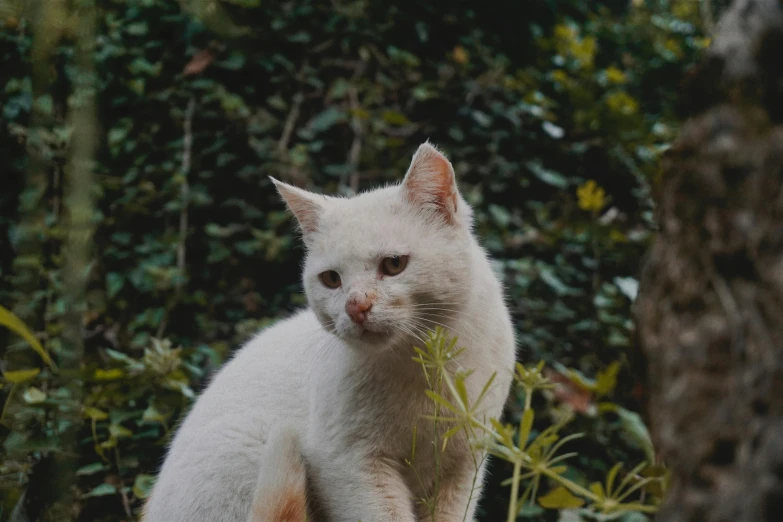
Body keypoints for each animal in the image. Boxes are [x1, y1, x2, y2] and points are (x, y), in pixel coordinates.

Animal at [143, 142, 516, 520]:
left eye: (394, 264)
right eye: (331, 279)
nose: (356, 306)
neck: (423, 365)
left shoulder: (464, 466)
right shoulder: (349, 464)